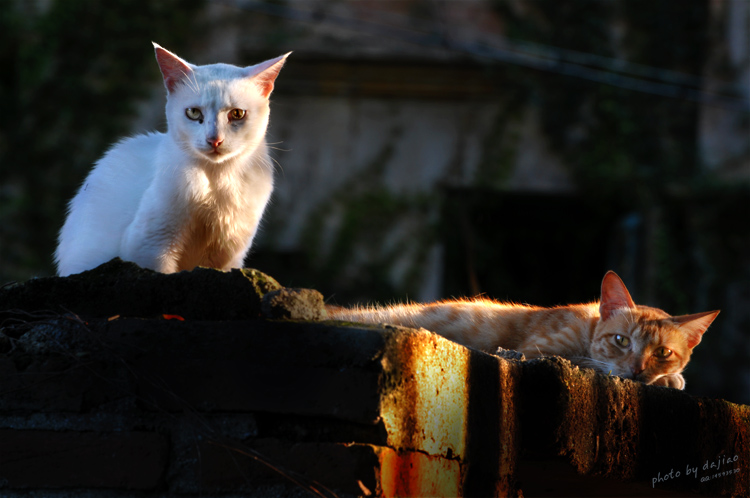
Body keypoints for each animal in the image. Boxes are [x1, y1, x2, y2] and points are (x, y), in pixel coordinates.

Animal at [55, 42, 290, 276]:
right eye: (193, 113)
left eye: (238, 114)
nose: (214, 140)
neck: (216, 180)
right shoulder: (151, 246)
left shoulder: (227, 257)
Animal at [332, 272, 720, 390]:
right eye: (621, 341)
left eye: (663, 353)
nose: (637, 371)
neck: (590, 323)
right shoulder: (540, 352)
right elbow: (592, 364)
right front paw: (669, 381)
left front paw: (669, 377)